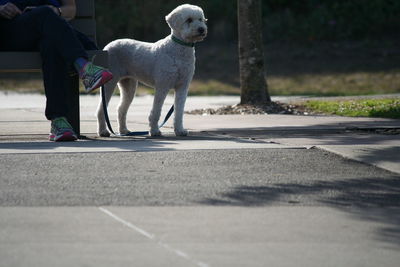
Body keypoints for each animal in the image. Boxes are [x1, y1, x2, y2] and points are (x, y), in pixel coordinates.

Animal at [96, 3, 206, 137]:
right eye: (189, 20)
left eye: (200, 19)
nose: (201, 29)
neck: (179, 49)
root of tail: (107, 47)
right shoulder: (162, 86)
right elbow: (156, 111)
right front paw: (154, 131)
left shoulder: (183, 86)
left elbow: (179, 112)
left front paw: (180, 130)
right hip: (109, 83)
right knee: (101, 109)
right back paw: (103, 131)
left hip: (129, 84)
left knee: (121, 109)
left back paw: (124, 131)